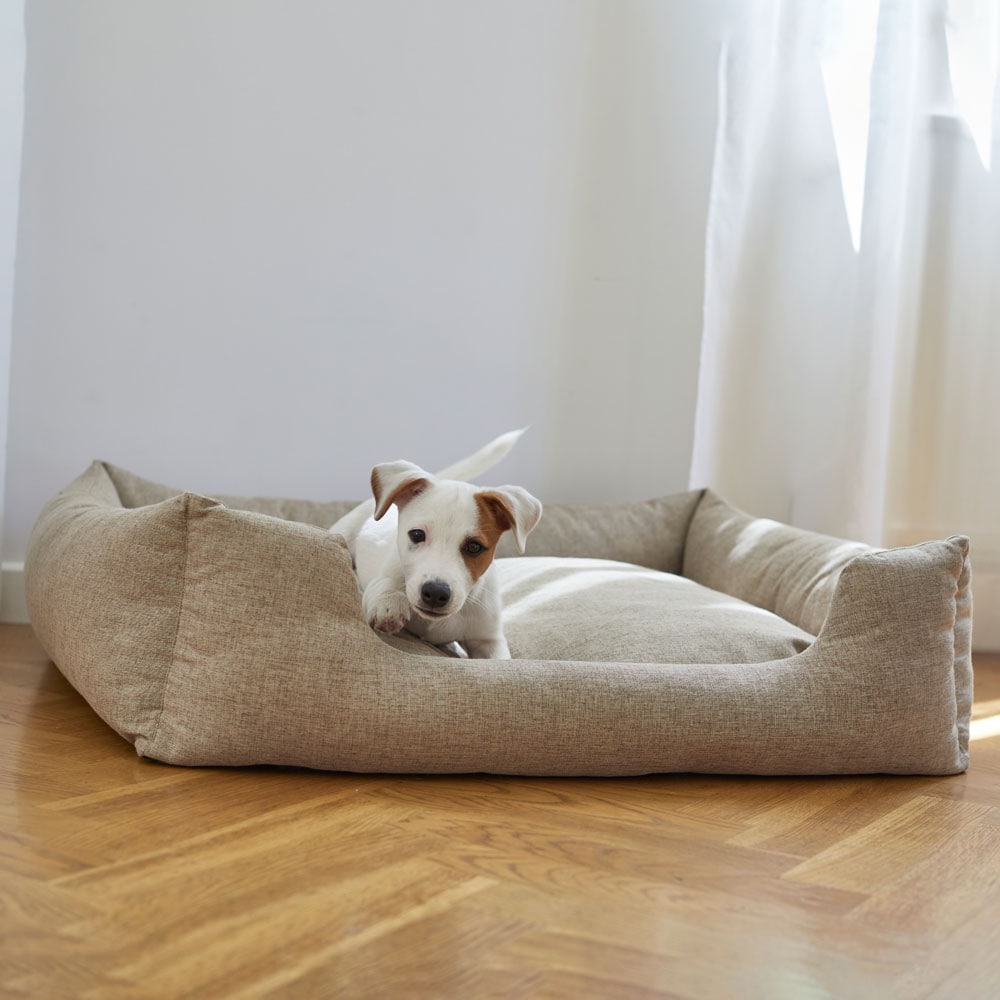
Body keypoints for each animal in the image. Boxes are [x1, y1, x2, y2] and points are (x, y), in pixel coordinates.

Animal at [330, 429, 542, 659]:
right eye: (417, 535)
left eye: (474, 547)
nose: (436, 592)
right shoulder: (384, 577)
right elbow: (385, 584)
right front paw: (390, 602)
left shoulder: (488, 640)